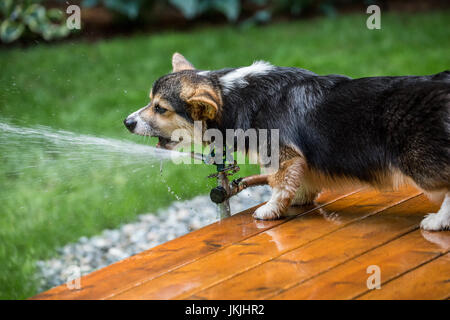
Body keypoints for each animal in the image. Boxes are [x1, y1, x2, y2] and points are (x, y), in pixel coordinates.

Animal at [124, 53, 450, 231]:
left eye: (160, 108)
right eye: (150, 101)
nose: (127, 122)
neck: (232, 96)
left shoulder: (283, 155)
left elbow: (279, 184)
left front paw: (269, 210)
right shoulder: (299, 160)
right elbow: (300, 181)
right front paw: (301, 196)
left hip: (419, 161)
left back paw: (437, 221)